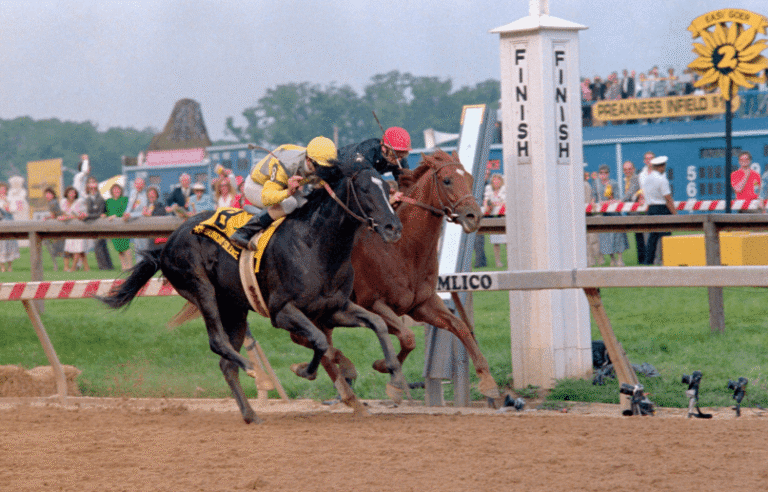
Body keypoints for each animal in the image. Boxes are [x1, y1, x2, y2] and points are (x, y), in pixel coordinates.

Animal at [98, 158, 406, 423]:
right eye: (365, 189)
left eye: (388, 187)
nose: (393, 227)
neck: (315, 246)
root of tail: (167, 243)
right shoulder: (282, 312)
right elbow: (319, 340)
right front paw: (303, 370)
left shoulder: (333, 309)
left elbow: (377, 323)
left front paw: (393, 374)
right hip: (202, 290)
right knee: (217, 342)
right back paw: (252, 369)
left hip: (234, 308)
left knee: (226, 365)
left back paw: (250, 413)